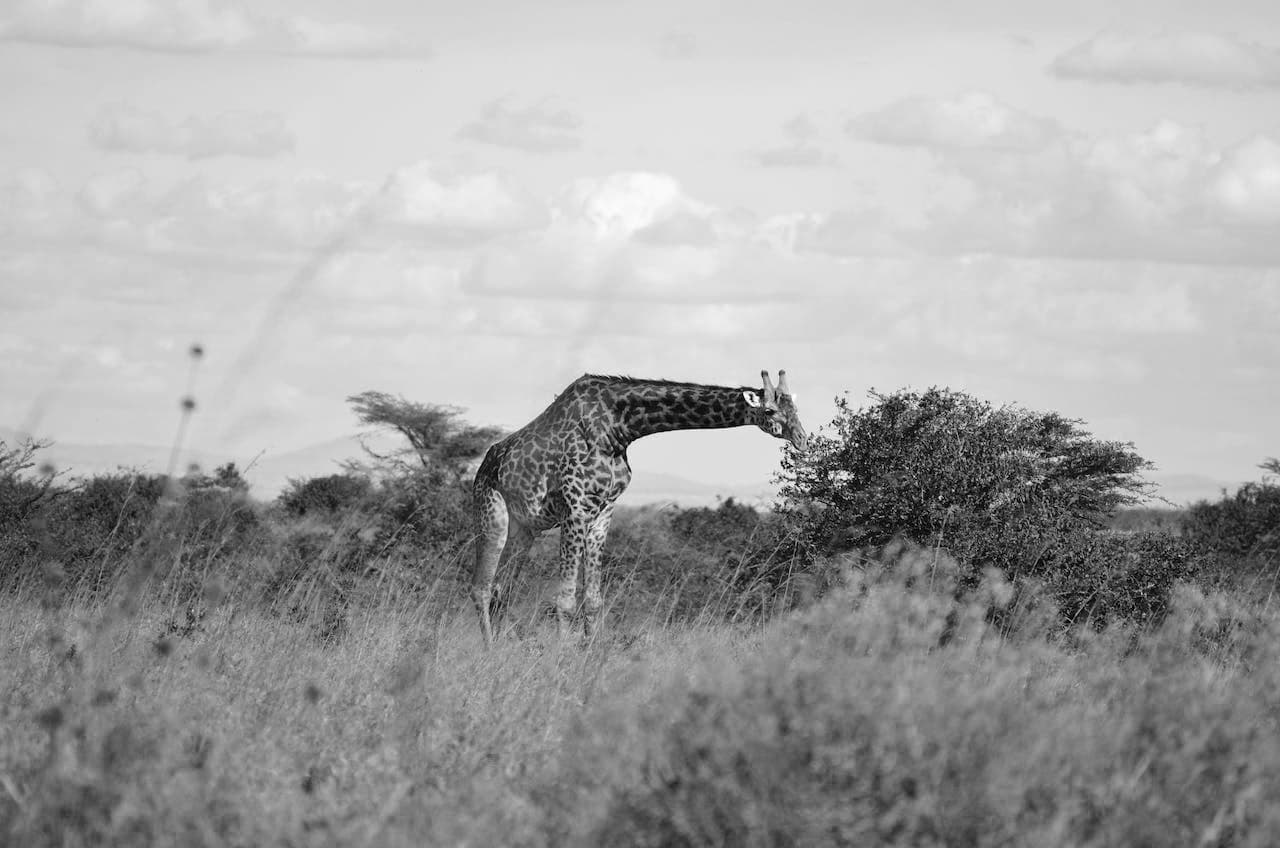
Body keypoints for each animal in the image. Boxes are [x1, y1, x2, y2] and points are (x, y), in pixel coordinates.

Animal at [471, 371, 808, 645]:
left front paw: (590, 654)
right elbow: (565, 599)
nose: (803, 440)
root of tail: (486, 464)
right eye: (769, 410)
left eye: (795, 409)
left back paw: (503, 647)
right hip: (492, 513)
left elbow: (593, 600)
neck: (618, 429)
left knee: (501, 589)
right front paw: (561, 656)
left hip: (525, 528)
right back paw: (490, 651)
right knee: (481, 588)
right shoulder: (575, 508)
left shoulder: (603, 512)